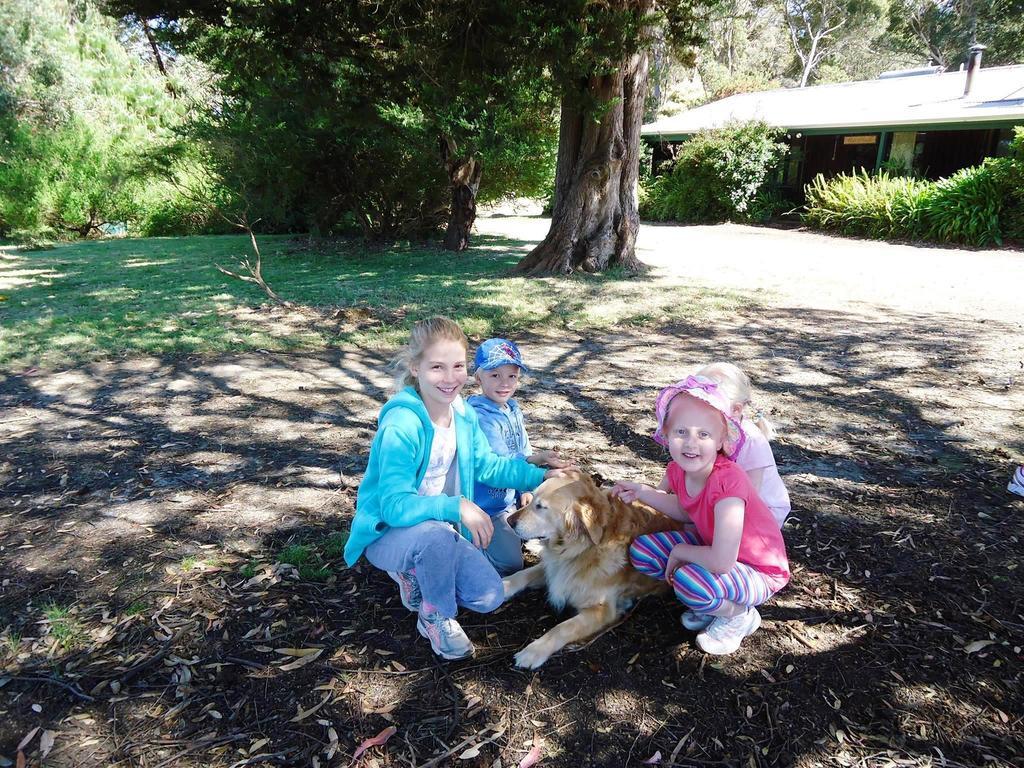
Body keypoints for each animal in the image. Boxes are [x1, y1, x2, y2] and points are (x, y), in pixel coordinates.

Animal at [501, 468, 679, 667]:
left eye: (540, 506)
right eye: (532, 499)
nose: (509, 521)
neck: (582, 547)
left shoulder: (602, 610)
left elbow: (563, 627)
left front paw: (534, 650)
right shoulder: (558, 568)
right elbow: (524, 574)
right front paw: (503, 585)